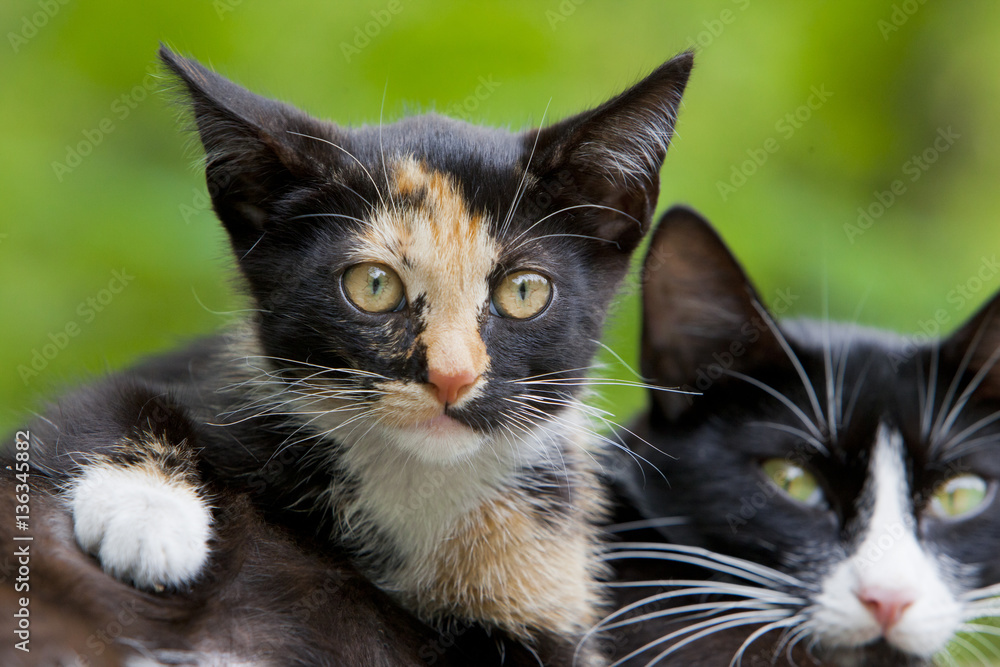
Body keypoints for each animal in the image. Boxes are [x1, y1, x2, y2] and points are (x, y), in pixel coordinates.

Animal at [5, 49, 696, 664]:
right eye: (374, 286)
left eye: (524, 291)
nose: (452, 376)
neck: (413, 478)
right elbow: (95, 402)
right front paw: (148, 513)